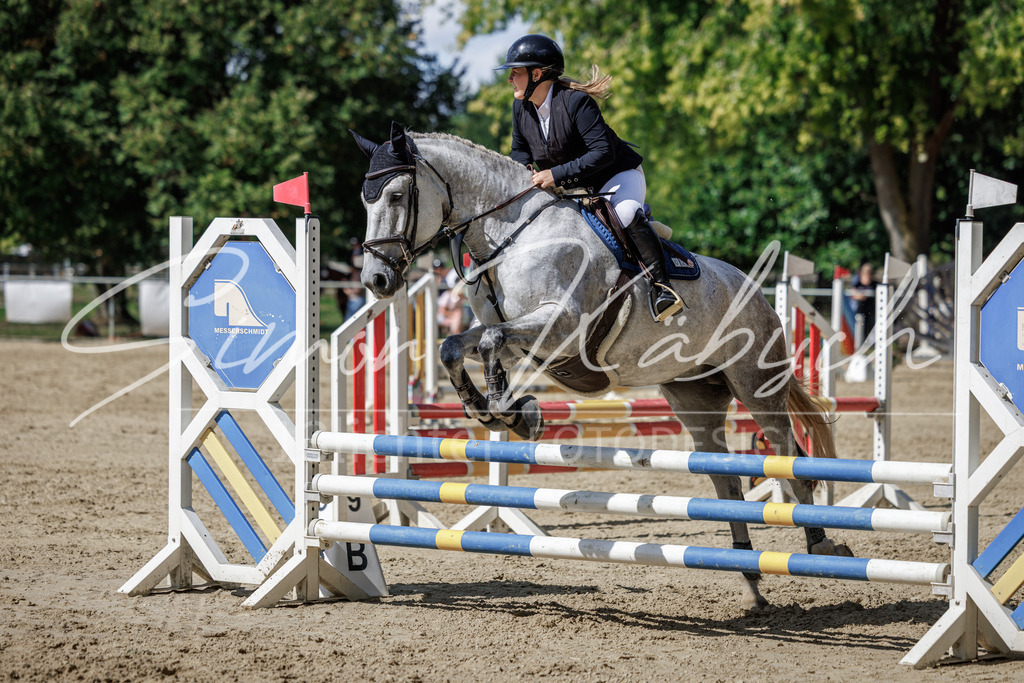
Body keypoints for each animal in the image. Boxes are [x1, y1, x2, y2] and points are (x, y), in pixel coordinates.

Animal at [349, 122, 852, 610]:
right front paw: (497, 410)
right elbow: (455, 347)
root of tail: (755, 290)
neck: (511, 235)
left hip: (755, 382)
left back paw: (822, 546)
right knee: (724, 480)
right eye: (365, 199)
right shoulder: (509, 332)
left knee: (788, 452)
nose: (376, 280)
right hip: (693, 396)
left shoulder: (562, 325)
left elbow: (491, 342)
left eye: (397, 196)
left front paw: (513, 412)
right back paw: (749, 582)